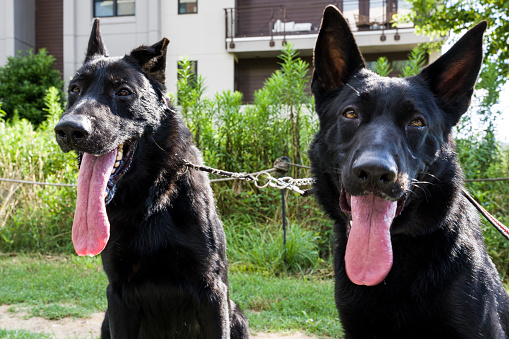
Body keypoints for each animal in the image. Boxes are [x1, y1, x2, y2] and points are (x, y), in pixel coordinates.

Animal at [53, 20, 248, 339]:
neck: (149, 200)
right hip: (106, 320)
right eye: (74, 89)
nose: (69, 129)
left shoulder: (213, 293)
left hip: (237, 316)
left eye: (123, 91)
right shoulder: (118, 297)